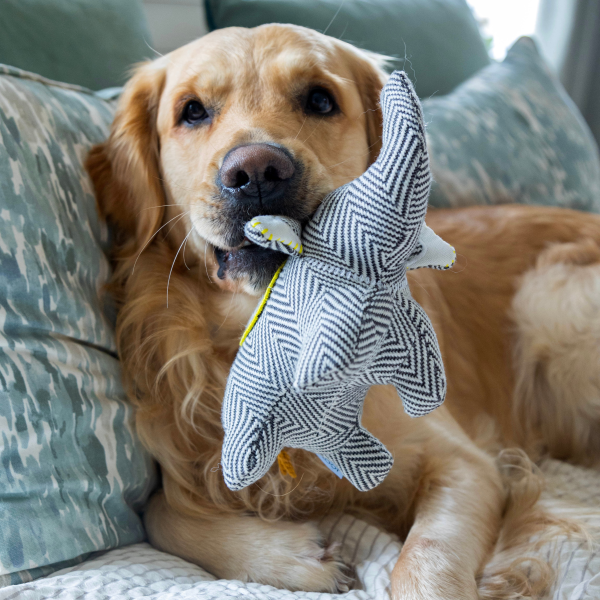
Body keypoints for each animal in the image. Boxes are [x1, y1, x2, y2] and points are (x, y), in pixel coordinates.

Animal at [86, 23, 600, 600]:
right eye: (192, 111)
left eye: (320, 99)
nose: (257, 170)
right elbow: (158, 513)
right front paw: (291, 556)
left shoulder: (466, 464)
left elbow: (425, 561)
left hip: (547, 301)